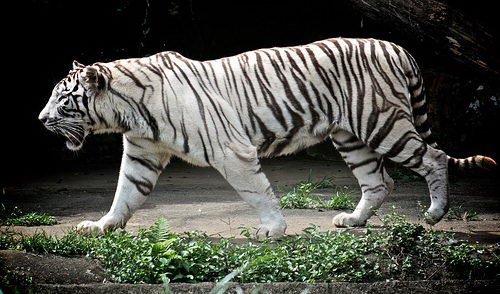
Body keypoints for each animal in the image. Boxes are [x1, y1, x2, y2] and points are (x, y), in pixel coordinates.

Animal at [40, 37, 496, 239]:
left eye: (63, 100)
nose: (41, 119)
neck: (128, 111)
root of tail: (397, 46)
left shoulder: (232, 150)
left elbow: (256, 191)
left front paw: (272, 230)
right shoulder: (142, 153)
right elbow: (125, 193)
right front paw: (101, 225)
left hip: (383, 124)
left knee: (433, 157)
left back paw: (435, 214)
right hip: (351, 137)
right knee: (380, 181)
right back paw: (352, 220)